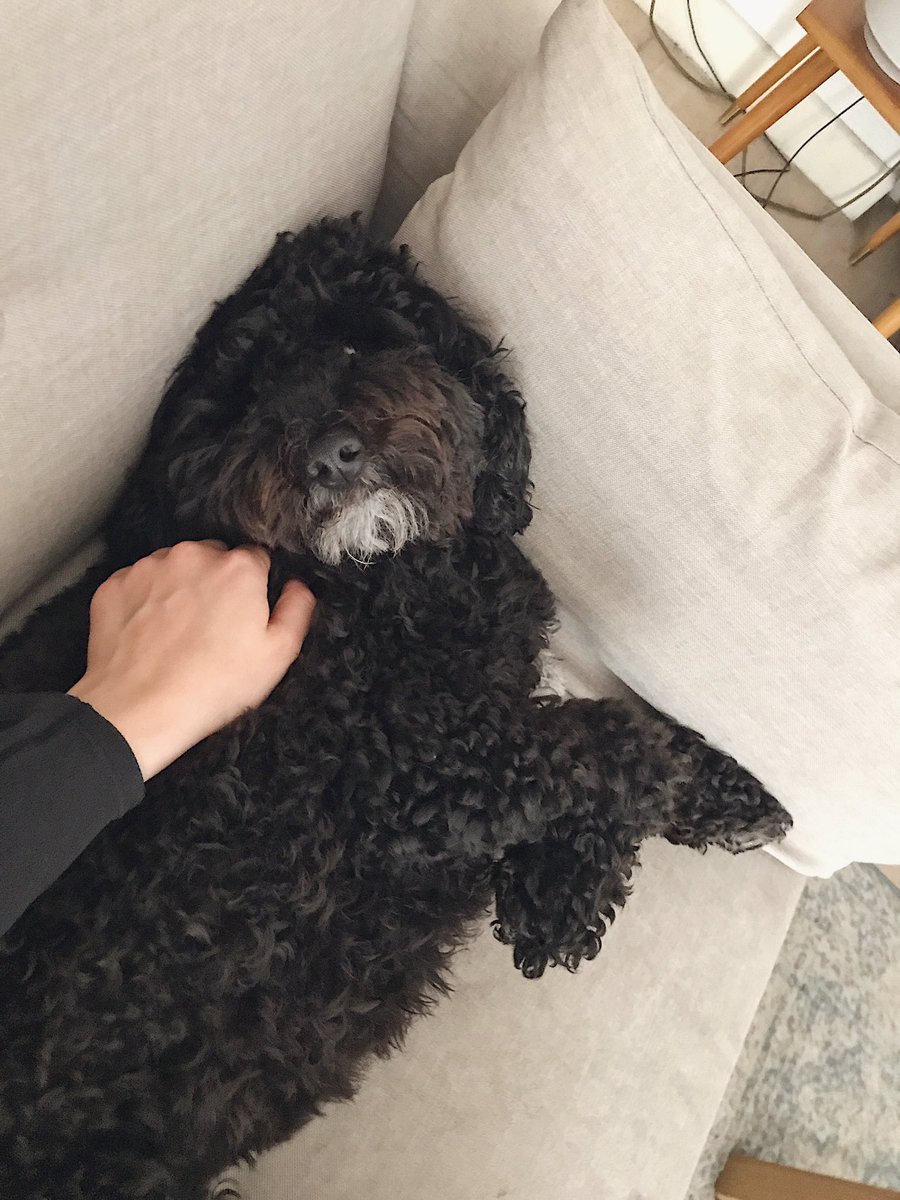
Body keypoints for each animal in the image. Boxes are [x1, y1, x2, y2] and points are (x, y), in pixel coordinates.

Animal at [0, 215, 791, 1200]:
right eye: (248, 395)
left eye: (354, 341)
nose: (329, 454)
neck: (393, 578)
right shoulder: (403, 774)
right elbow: (594, 740)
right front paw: (705, 783)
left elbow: (565, 747)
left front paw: (565, 890)